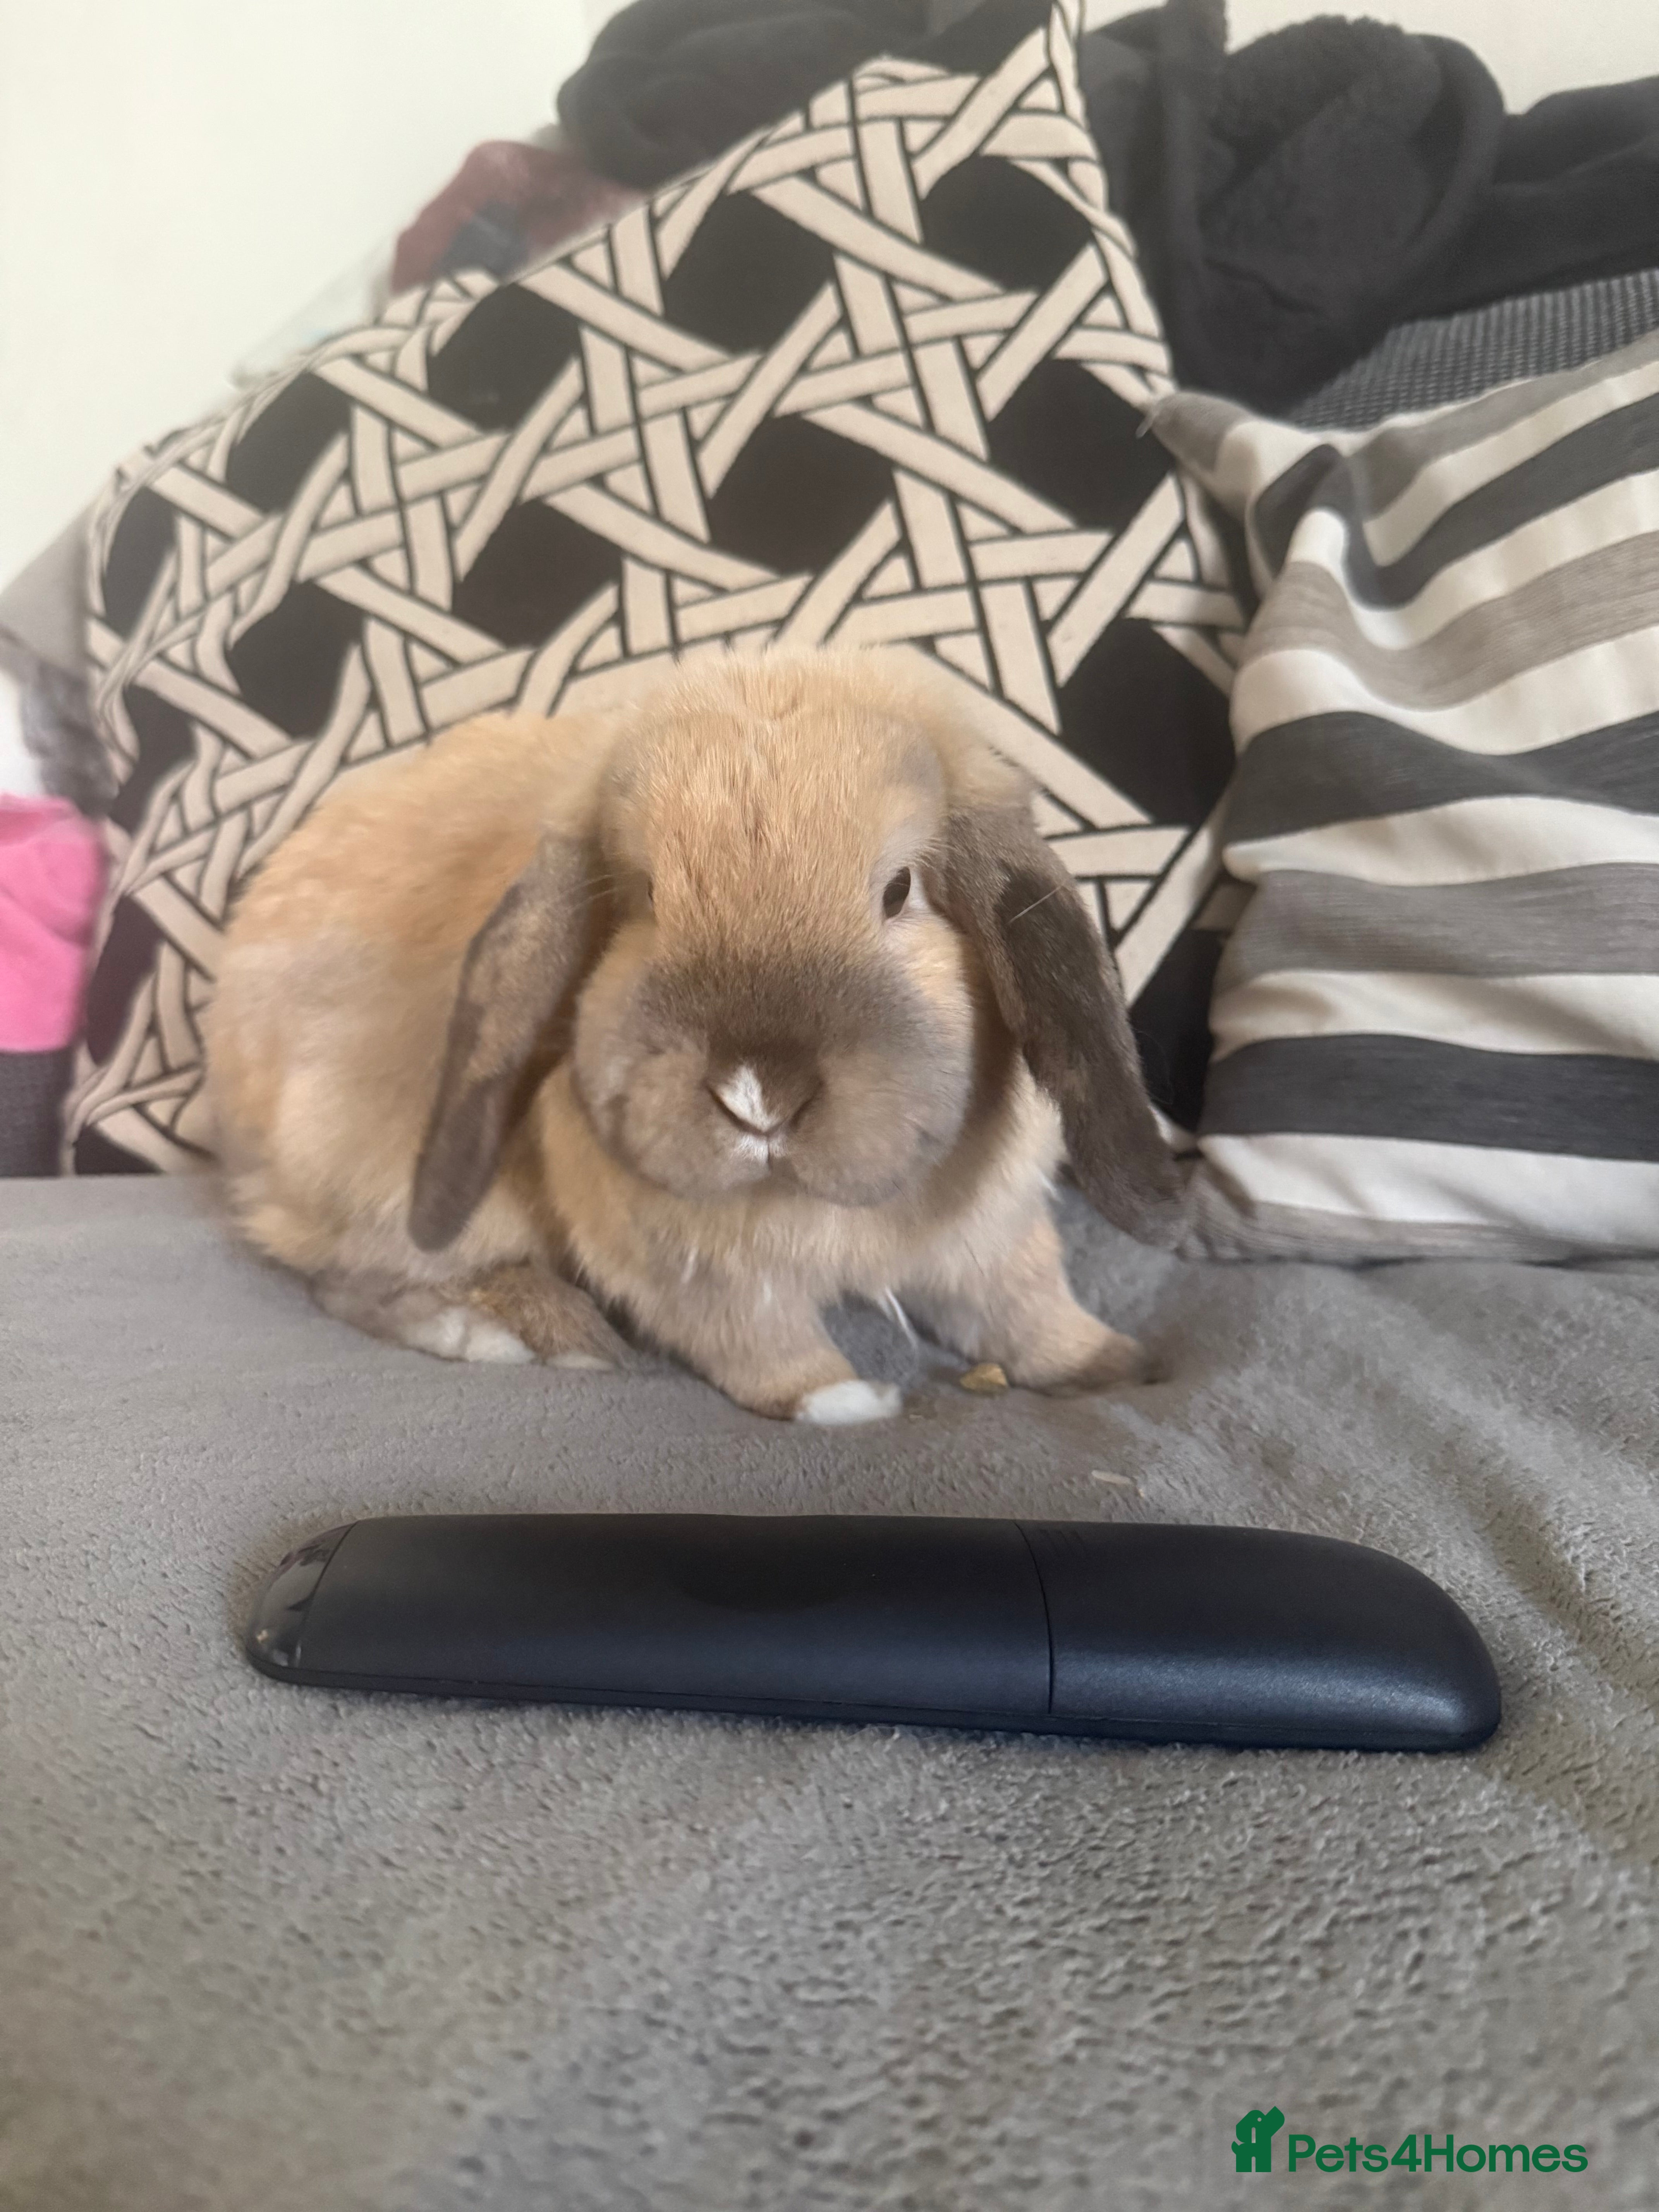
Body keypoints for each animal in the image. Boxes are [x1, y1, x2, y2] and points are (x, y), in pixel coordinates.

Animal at [205, 646, 1183, 1423]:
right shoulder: (685, 1269)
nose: (759, 1093)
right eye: (643, 897)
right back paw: (515, 1331)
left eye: (901, 890)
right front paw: (843, 1401)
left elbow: (1026, 1302)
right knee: (350, 1281)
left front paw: (1114, 1364)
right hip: (408, 1188)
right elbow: (757, 1338)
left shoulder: (993, 1235)